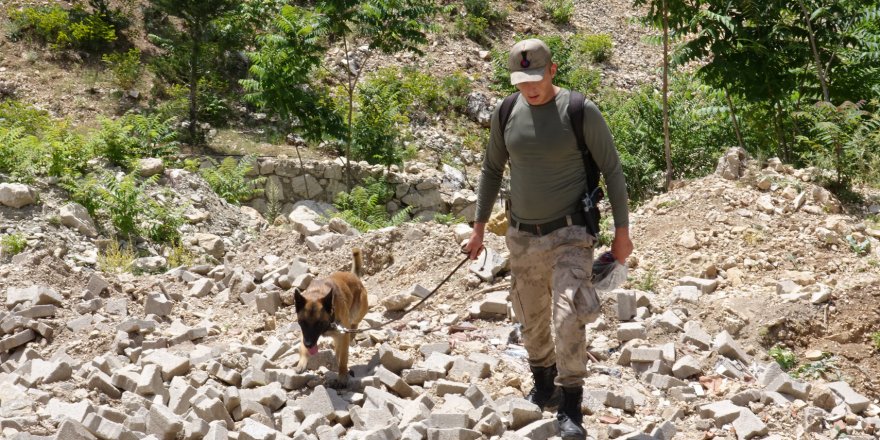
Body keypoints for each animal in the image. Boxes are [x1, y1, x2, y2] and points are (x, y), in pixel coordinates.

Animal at [292, 249, 368, 386]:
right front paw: (302, 362)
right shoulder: (304, 334)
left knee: (354, 324)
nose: (309, 344)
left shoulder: (343, 335)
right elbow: (302, 347)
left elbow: (343, 358)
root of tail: (353, 276)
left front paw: (342, 376)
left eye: (318, 324)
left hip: (357, 314)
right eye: (302, 323)